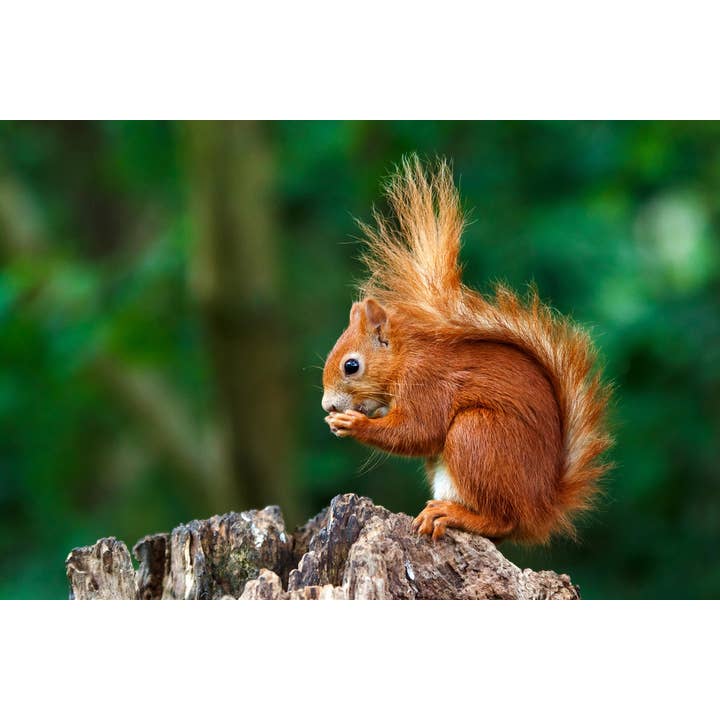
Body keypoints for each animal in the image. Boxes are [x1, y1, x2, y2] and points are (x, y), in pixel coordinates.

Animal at [322, 156, 612, 544]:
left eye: (351, 366)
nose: (327, 406)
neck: (404, 360)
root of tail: (540, 508)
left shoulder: (427, 383)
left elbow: (418, 431)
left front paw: (353, 423)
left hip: (477, 436)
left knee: (502, 520)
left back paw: (453, 514)